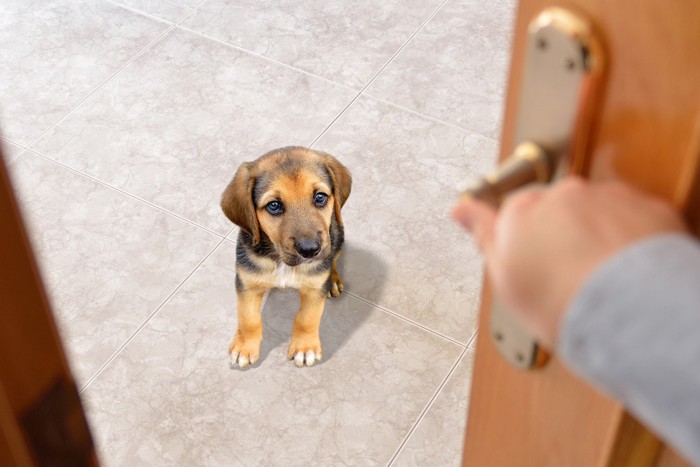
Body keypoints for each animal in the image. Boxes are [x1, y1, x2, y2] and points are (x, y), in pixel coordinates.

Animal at [220, 146, 350, 370]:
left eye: (320, 197)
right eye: (274, 205)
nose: (310, 250)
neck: (281, 260)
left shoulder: (314, 288)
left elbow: (307, 318)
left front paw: (305, 348)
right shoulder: (247, 283)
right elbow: (248, 318)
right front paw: (245, 347)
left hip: (338, 235)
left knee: (333, 259)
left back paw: (332, 280)